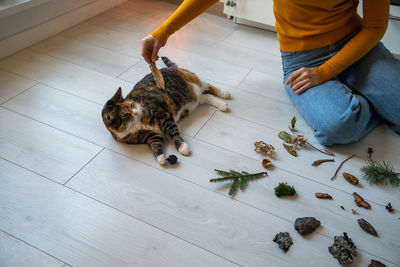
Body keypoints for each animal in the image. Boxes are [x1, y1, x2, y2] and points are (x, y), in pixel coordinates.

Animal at [101, 57, 230, 164]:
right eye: (126, 114)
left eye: (131, 105)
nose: (136, 112)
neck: (136, 125)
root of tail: (171, 67)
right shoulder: (150, 135)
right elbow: (155, 144)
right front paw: (161, 158)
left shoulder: (162, 117)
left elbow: (173, 133)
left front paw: (183, 147)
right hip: (196, 99)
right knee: (207, 97)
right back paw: (222, 105)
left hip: (192, 79)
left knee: (208, 86)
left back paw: (224, 94)